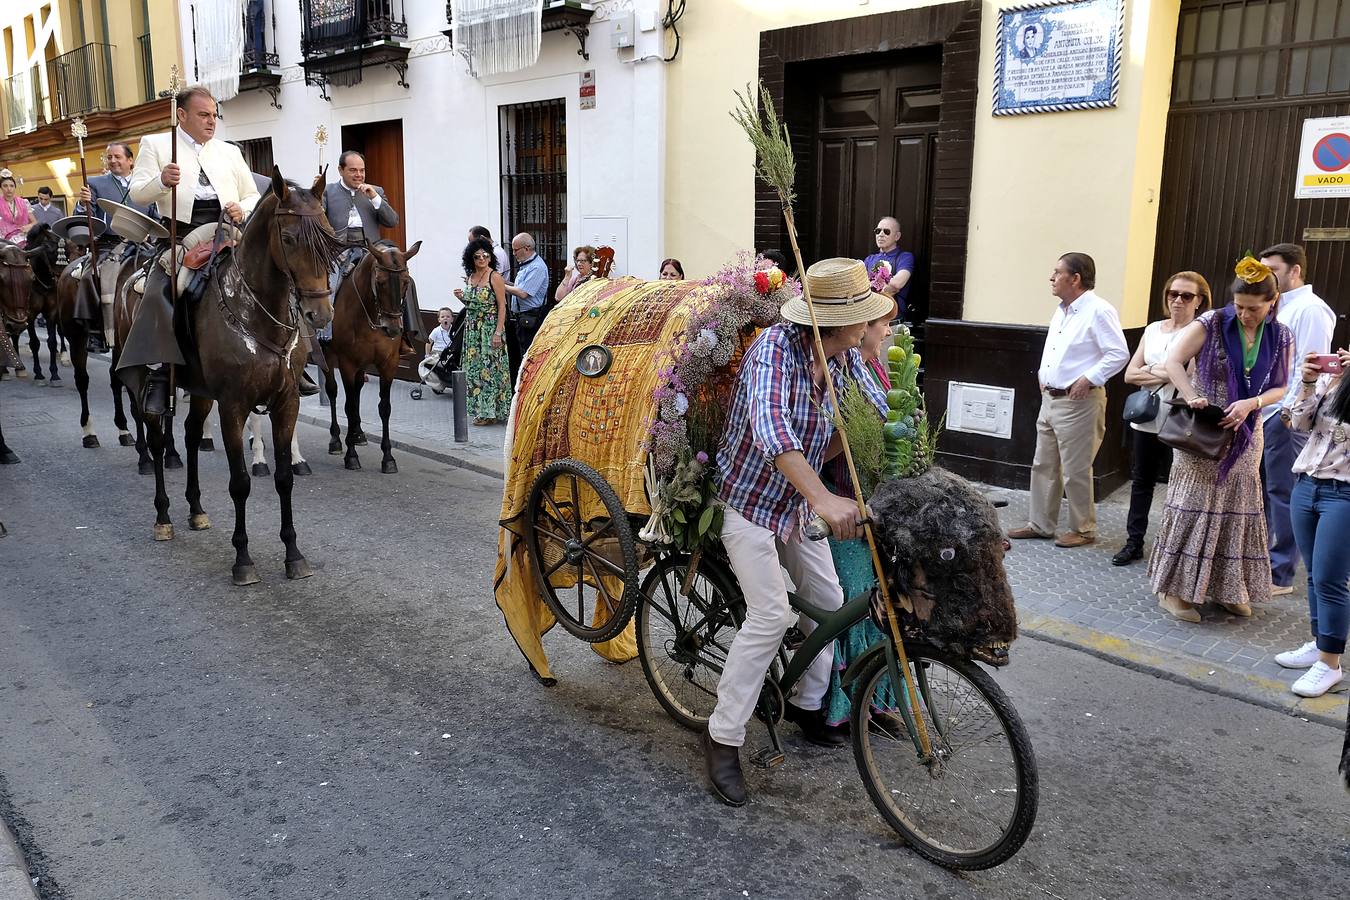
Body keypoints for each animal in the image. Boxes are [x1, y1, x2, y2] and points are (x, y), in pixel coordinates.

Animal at [117, 170, 337, 588]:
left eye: (330, 236)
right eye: (289, 239)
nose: (319, 315)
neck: (255, 312)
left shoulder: (286, 403)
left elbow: (284, 478)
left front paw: (293, 554)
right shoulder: (233, 406)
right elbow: (241, 483)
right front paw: (243, 559)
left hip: (202, 392)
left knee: (189, 435)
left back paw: (196, 509)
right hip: (143, 382)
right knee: (157, 441)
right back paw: (163, 516)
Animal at [319, 238, 418, 477]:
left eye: (405, 282)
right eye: (380, 282)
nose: (393, 329)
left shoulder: (389, 364)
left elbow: (384, 408)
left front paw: (388, 457)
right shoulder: (347, 363)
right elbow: (348, 406)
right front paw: (351, 455)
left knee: (357, 391)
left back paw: (358, 433)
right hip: (328, 356)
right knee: (333, 392)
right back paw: (336, 440)